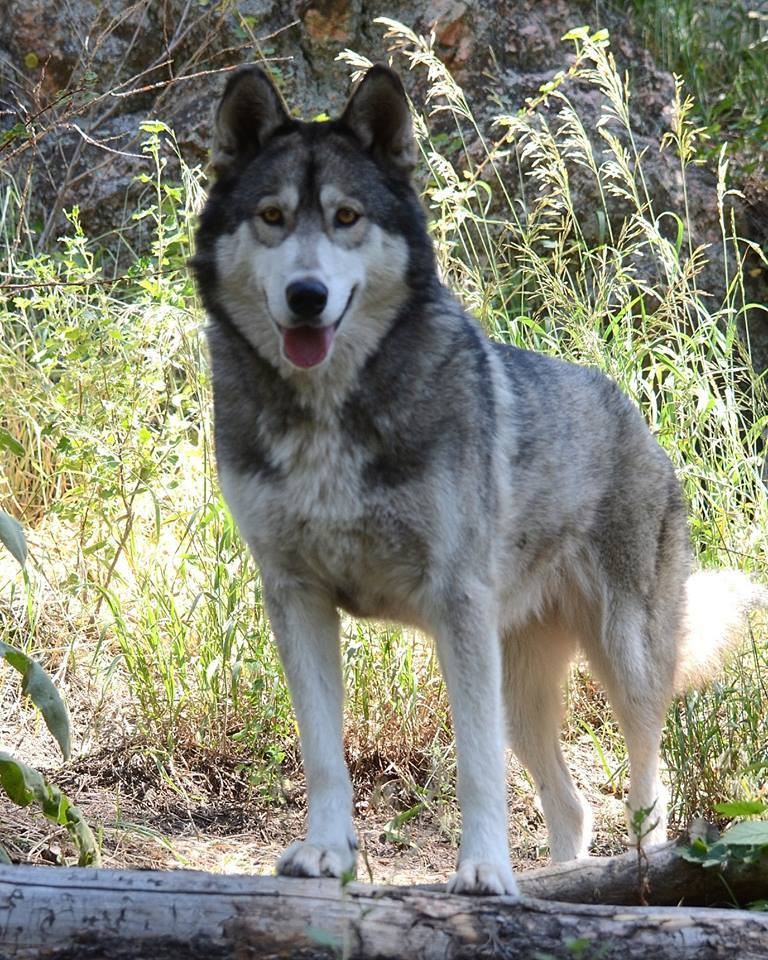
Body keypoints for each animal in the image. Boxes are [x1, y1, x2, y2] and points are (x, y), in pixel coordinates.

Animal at [191, 63, 767, 896]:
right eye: (272, 216)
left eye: (345, 217)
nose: (306, 296)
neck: (331, 413)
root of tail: (635, 415)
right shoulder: (297, 598)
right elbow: (324, 755)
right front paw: (326, 855)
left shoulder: (455, 605)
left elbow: (475, 768)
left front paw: (485, 871)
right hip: (522, 690)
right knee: (572, 809)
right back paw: (567, 880)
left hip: (623, 662)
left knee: (645, 790)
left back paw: (633, 876)